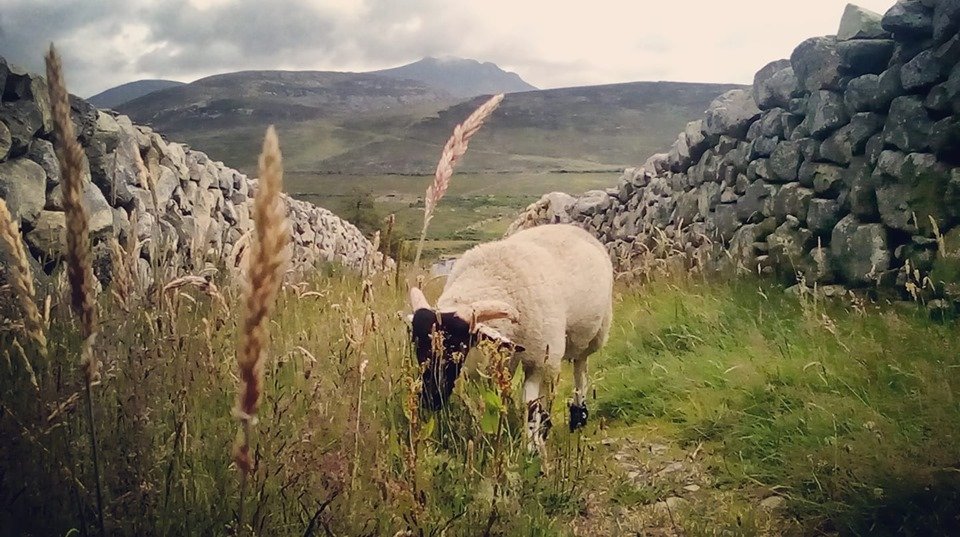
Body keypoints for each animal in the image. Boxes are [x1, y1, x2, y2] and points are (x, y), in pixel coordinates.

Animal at [409, 223, 614, 450]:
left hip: (587, 338)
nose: (430, 399)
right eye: (416, 345)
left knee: (580, 370)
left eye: (459, 346)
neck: (491, 275)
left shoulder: (538, 360)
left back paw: (578, 416)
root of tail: (568, 226)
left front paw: (532, 446)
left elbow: (530, 406)